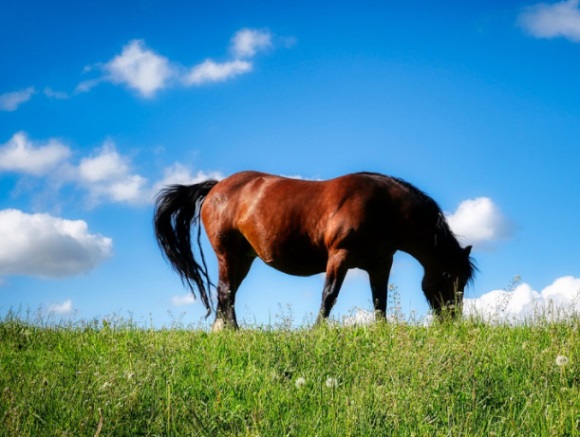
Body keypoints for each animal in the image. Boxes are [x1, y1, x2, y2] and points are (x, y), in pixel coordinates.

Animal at [154, 169, 476, 328]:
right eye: (449, 277)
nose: (453, 321)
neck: (384, 206)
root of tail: (216, 186)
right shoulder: (340, 256)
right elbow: (329, 296)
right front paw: (316, 331)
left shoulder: (380, 263)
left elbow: (379, 301)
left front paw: (382, 333)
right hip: (227, 254)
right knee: (226, 292)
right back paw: (233, 331)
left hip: (243, 258)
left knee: (227, 294)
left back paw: (220, 331)